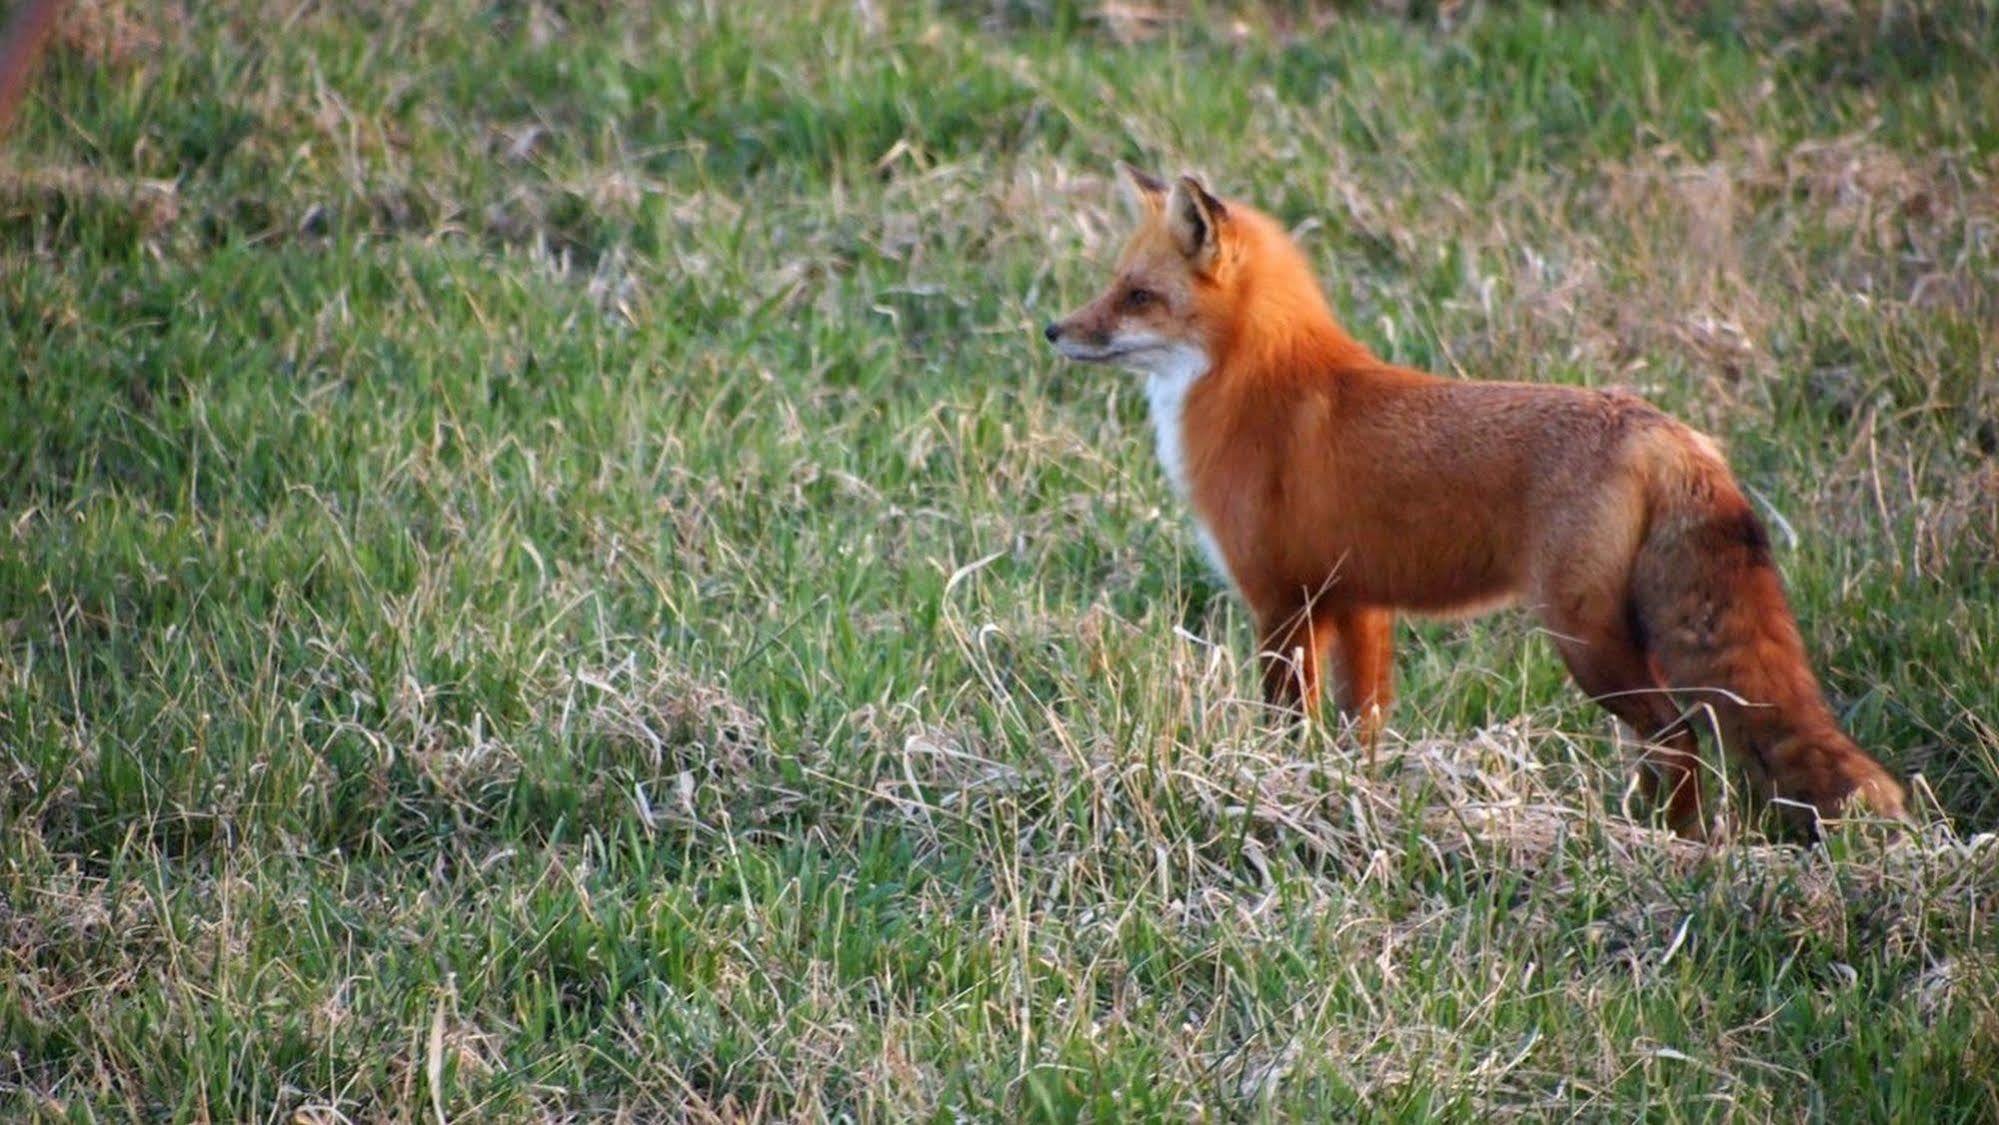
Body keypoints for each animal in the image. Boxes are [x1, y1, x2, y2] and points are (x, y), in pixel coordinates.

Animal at [1047, 166, 1903, 835]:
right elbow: (1362, 727)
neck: (1260, 382)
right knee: (1672, 740)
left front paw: (1272, 786)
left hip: (1585, 643)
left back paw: (1674, 845)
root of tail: (1667, 431)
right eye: (1113, 285)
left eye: (1136, 295)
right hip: (1629, 639)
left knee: (1679, 733)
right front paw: (1352, 800)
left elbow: (1285, 724)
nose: (1054, 329)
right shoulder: (1357, 604)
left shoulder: (1282, 603)